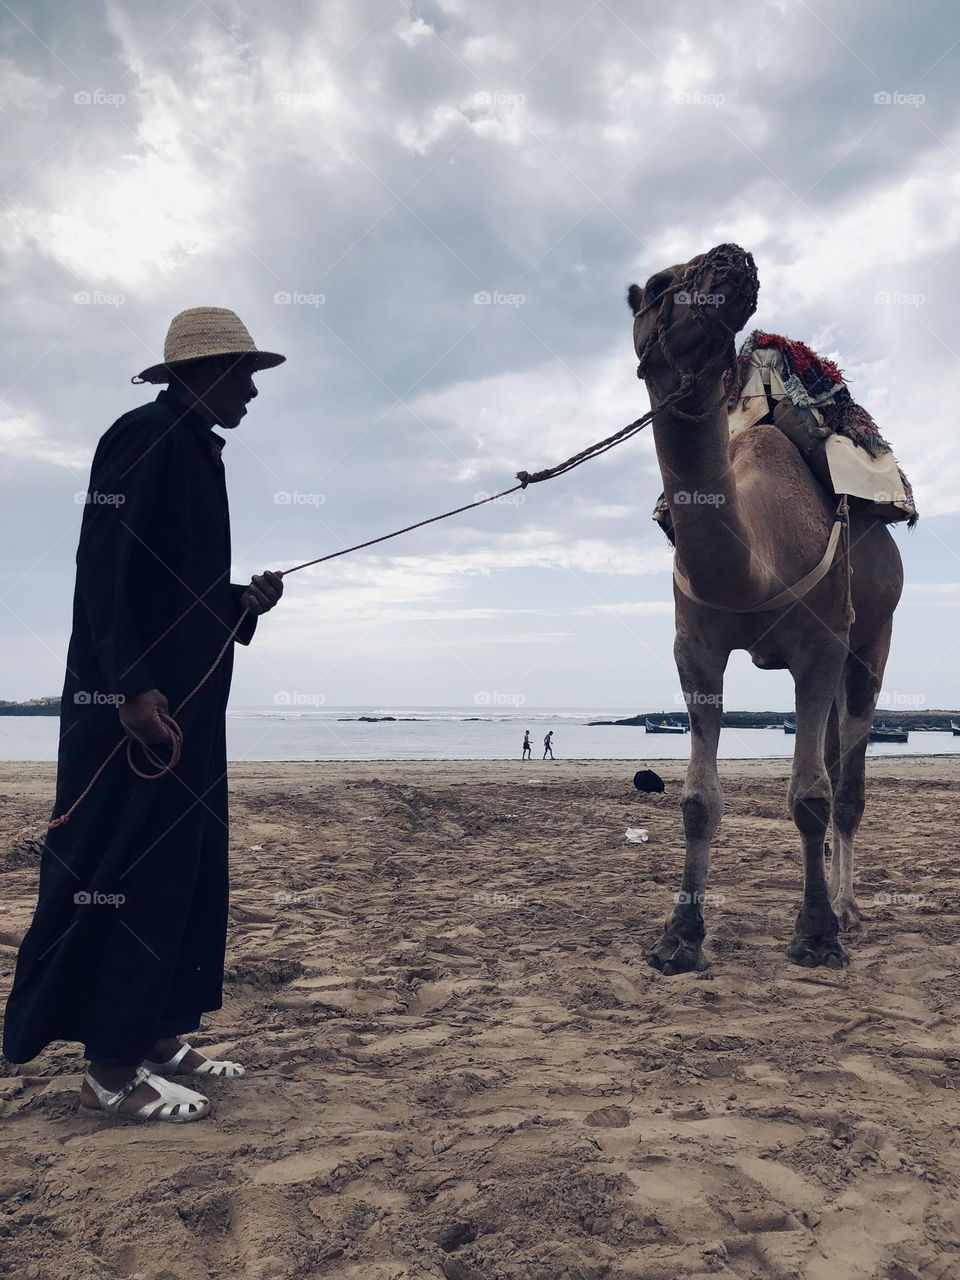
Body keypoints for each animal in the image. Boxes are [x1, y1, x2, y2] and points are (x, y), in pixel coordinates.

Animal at [627, 243, 903, 971]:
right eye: (658, 284)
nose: (731, 258)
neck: (751, 561)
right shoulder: (695, 649)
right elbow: (697, 800)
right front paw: (679, 939)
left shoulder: (822, 647)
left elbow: (810, 796)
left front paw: (817, 935)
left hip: (872, 640)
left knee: (848, 784)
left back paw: (849, 909)